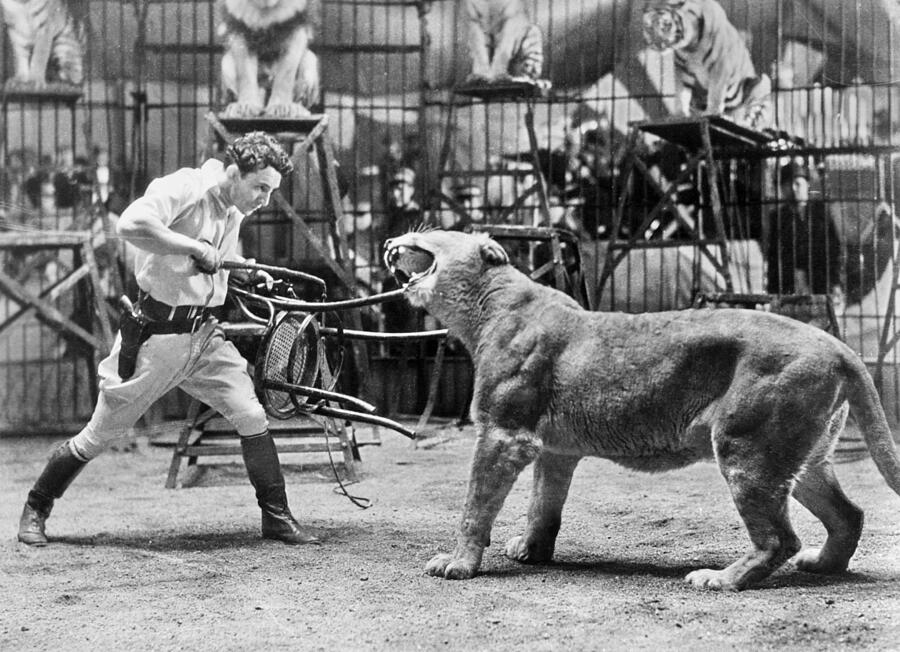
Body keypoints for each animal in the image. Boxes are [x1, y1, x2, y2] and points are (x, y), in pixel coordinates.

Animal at [383, 229, 900, 591]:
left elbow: (475, 505)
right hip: (801, 458)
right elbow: (542, 507)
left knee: (779, 538)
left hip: (747, 448)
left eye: (425, 232)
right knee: (849, 514)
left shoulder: (504, 433)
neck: (488, 309)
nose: (387, 242)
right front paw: (530, 550)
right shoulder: (553, 449)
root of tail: (839, 346)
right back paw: (822, 564)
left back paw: (719, 579)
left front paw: (458, 564)